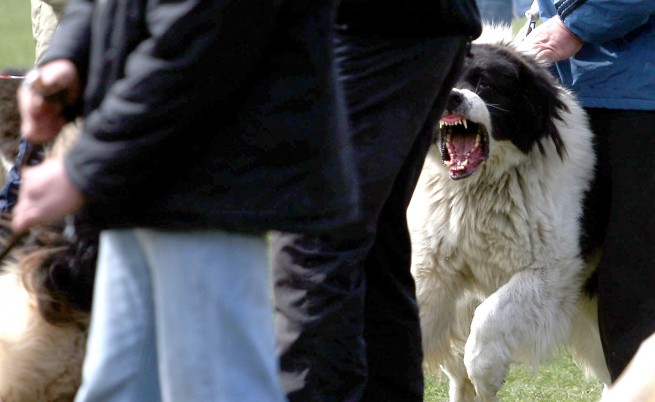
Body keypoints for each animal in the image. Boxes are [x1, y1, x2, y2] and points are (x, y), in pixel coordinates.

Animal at [412, 26, 612, 400]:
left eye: (485, 84)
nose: (452, 98)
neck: (481, 188)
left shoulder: (548, 273)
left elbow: (489, 318)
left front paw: (488, 374)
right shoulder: (431, 270)